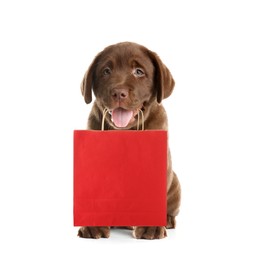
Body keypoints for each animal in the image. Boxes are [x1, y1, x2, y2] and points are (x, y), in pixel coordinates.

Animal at [78, 42, 181, 240]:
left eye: (139, 72)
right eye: (106, 71)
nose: (119, 93)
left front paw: (150, 227)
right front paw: (94, 225)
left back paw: (167, 220)